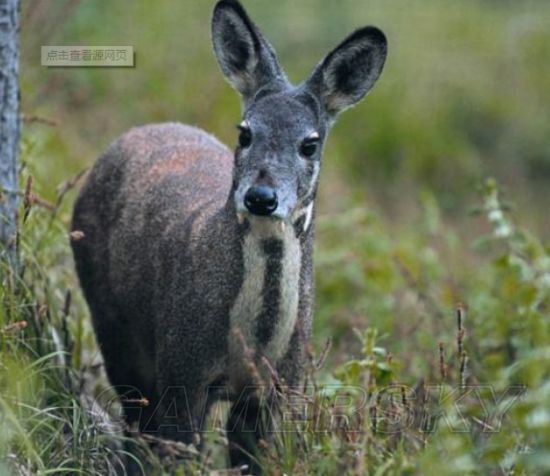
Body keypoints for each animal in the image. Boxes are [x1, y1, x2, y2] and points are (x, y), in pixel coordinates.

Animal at [71, 0, 388, 470]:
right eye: (245, 132)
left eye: (310, 144)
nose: (261, 197)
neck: (252, 342)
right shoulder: (183, 367)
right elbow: (180, 453)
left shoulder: (280, 387)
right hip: (112, 322)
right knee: (134, 419)